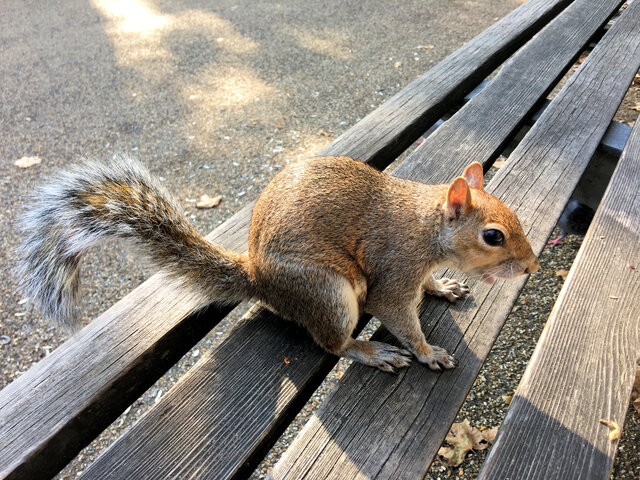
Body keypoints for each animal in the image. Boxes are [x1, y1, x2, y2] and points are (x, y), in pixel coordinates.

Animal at [17, 155, 539, 372]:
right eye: (493, 236)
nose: (532, 266)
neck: (427, 228)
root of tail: (259, 279)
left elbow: (427, 286)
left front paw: (443, 288)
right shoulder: (394, 271)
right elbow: (399, 315)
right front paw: (428, 352)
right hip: (327, 292)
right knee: (331, 343)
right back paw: (369, 351)